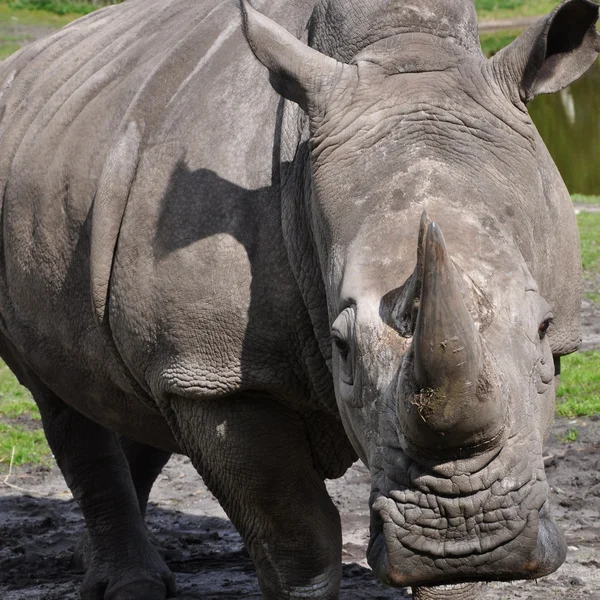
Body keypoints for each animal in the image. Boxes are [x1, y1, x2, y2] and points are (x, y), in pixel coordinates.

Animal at [0, 0, 592, 596]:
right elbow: (297, 539)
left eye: (544, 328)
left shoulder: (194, 363)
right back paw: (129, 585)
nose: (466, 527)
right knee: (60, 401)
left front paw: (461, 567)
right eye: (341, 346)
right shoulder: (217, 376)